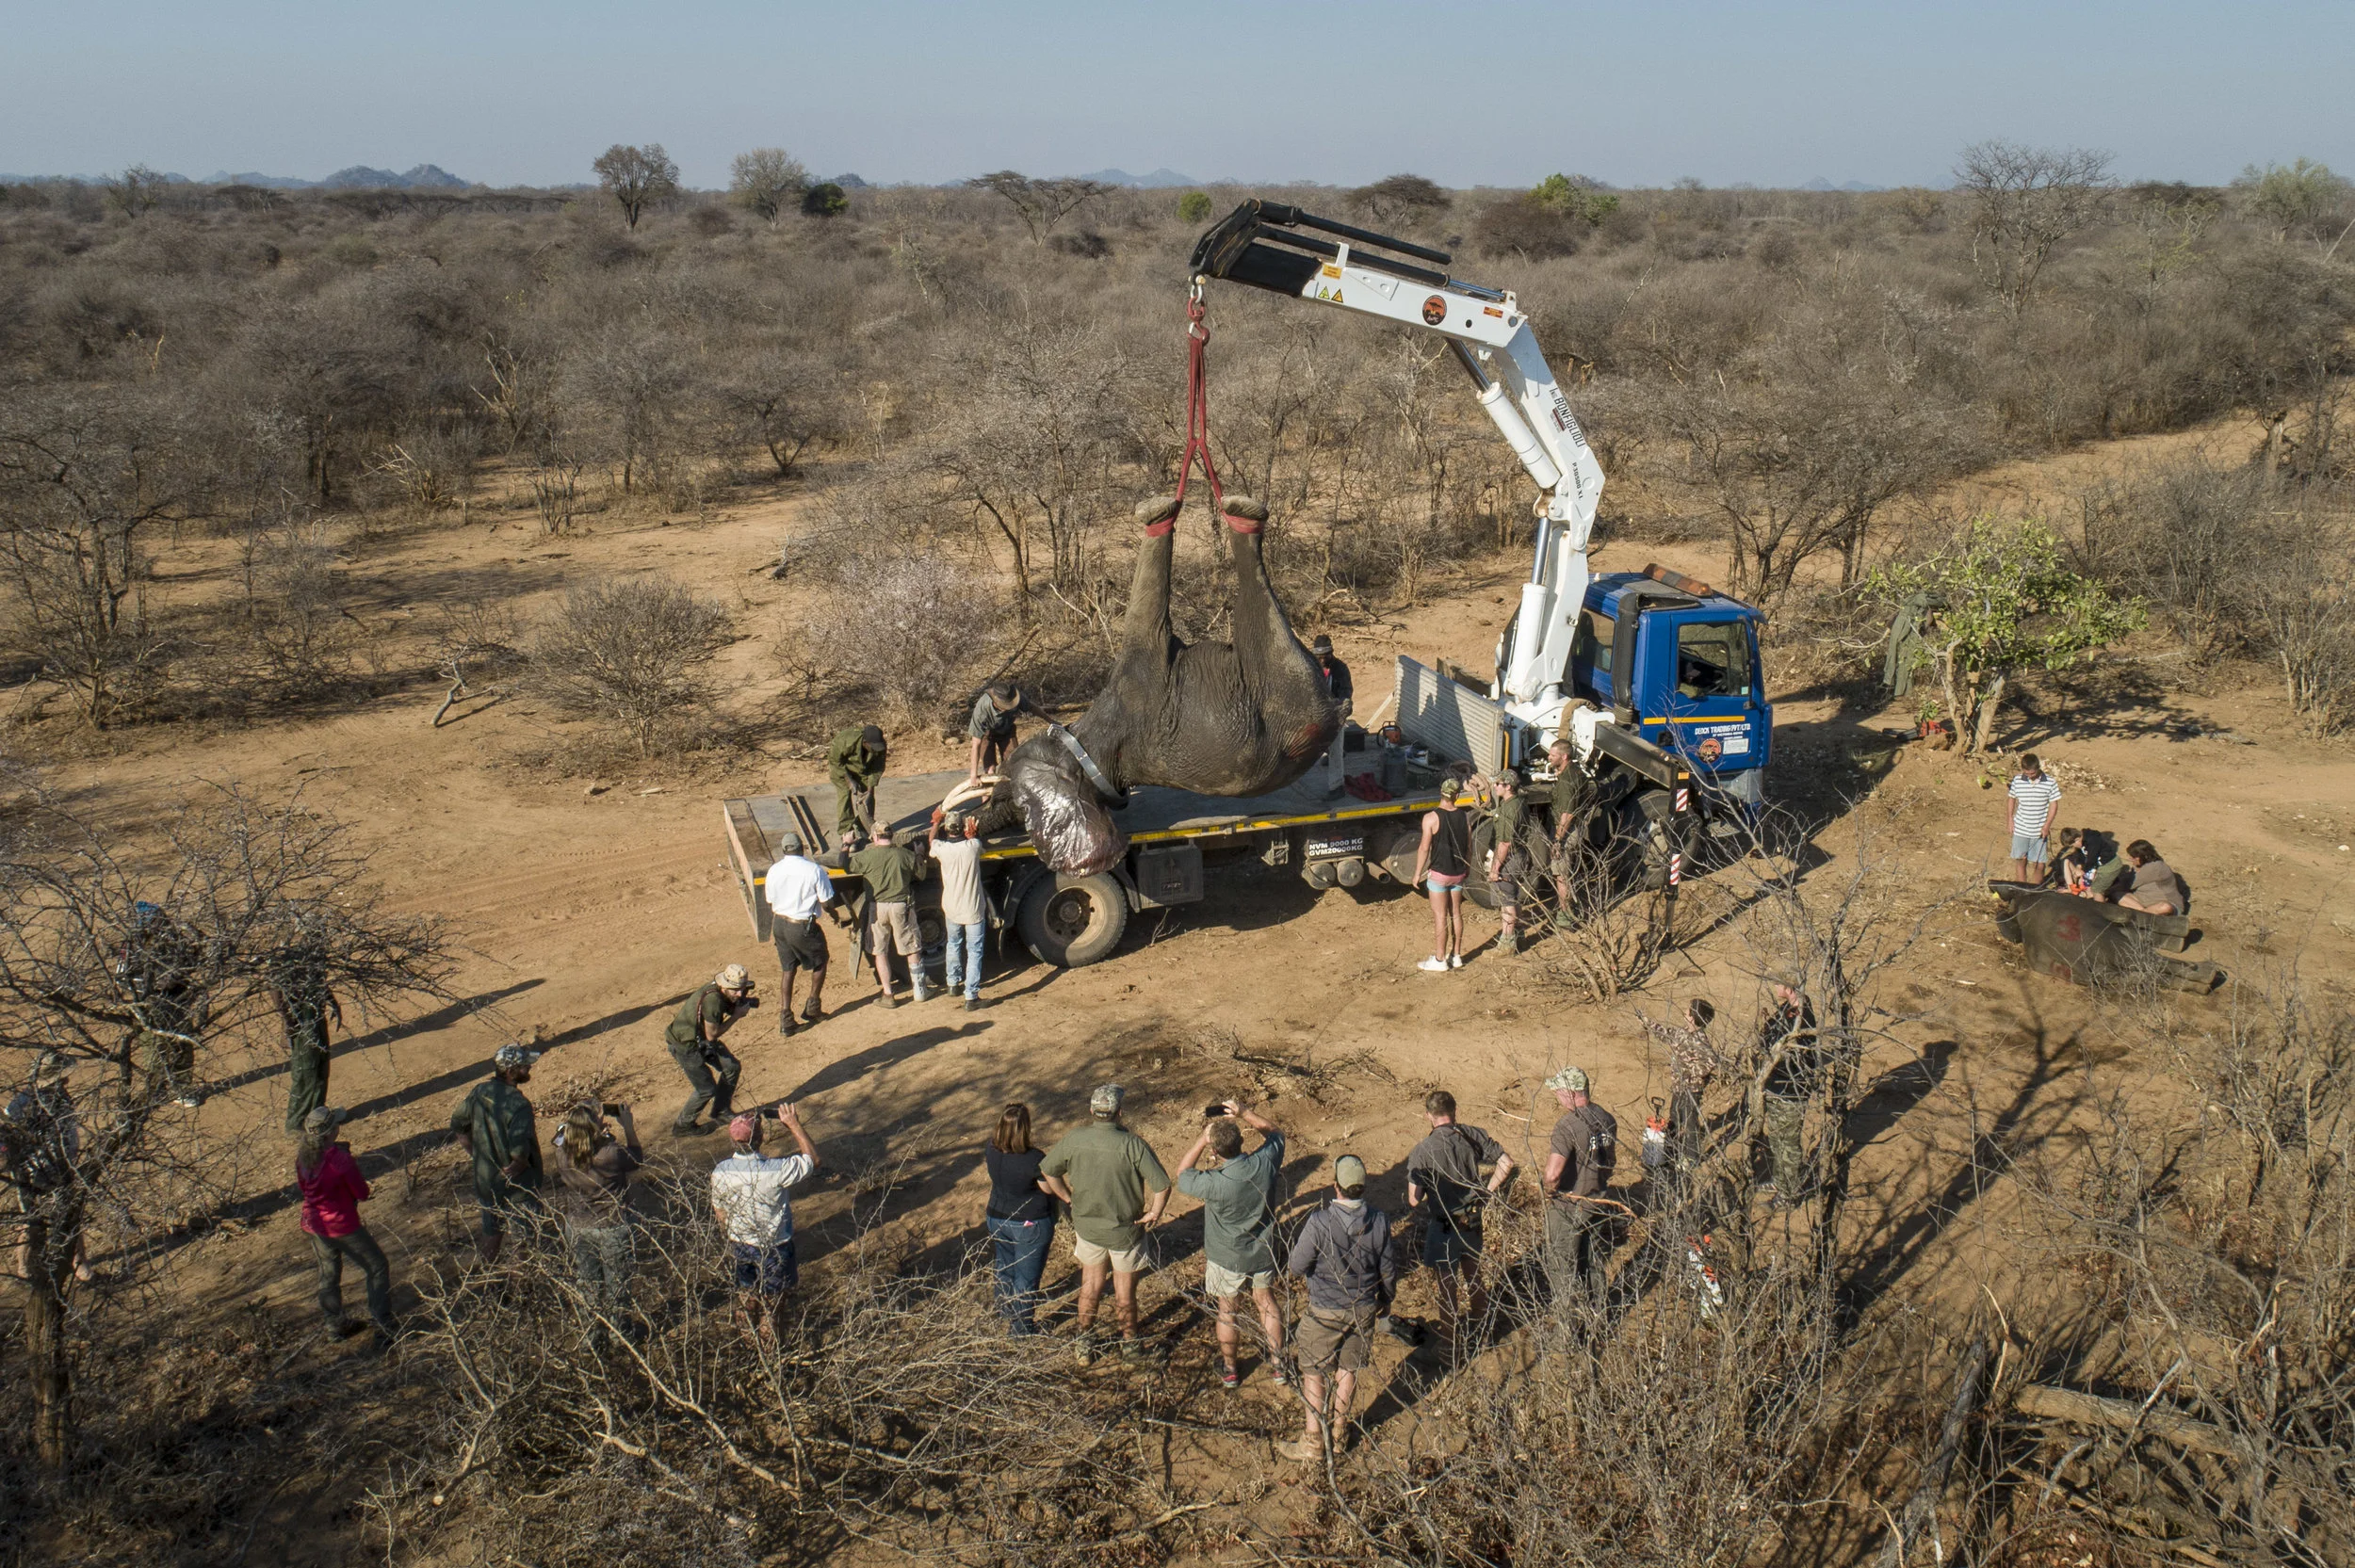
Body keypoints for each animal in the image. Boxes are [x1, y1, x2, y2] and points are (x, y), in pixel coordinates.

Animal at [986, 493, 1342, 874]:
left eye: (1010, 794)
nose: (982, 812)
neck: (1085, 754)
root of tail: (1334, 711)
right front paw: (1159, 514)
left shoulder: (1140, 674)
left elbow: (1143, 610)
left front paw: (1155, 513)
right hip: (1285, 683)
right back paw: (1243, 515)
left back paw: (1237, 512)